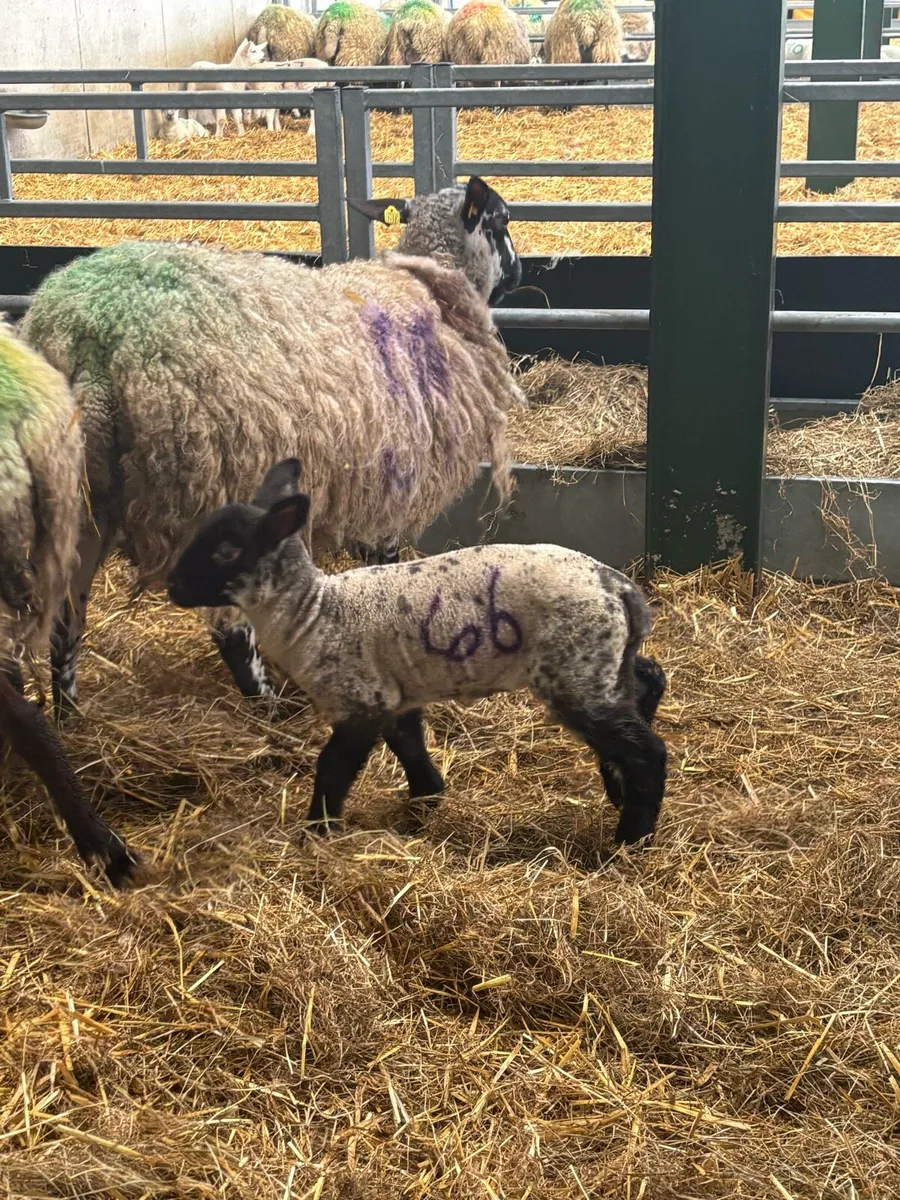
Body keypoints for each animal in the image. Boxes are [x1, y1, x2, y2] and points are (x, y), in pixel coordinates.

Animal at [21, 176, 524, 715]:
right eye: (503, 218)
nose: (520, 272)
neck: (430, 281)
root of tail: (86, 341)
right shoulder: (393, 477)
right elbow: (383, 562)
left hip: (79, 501)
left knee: (64, 618)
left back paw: (69, 715)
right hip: (213, 486)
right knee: (229, 630)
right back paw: (270, 706)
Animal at [167, 458, 668, 846]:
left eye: (226, 551)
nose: (172, 587)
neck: (312, 612)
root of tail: (619, 588)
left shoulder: (362, 701)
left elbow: (332, 768)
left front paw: (316, 831)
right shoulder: (394, 694)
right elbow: (408, 745)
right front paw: (427, 797)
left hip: (574, 669)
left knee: (647, 750)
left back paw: (631, 837)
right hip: (603, 659)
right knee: (647, 679)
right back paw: (618, 787)